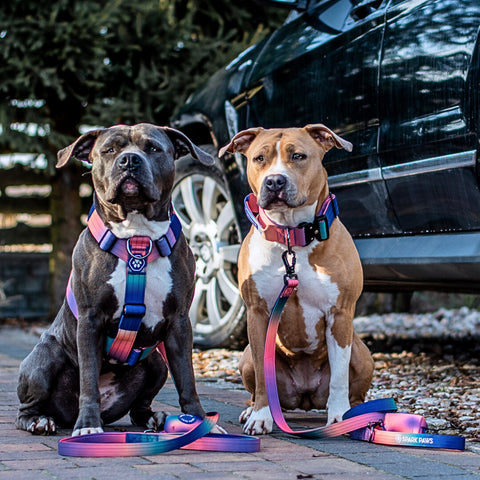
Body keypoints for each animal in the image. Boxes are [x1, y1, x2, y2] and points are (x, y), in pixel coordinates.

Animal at [15, 123, 214, 436]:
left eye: (152, 148)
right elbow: (88, 381)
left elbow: (187, 379)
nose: (129, 160)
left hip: (157, 363)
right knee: (27, 407)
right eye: (109, 150)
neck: (137, 239)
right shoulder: (90, 320)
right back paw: (39, 420)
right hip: (46, 358)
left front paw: (198, 422)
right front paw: (88, 427)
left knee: (139, 406)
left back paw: (153, 418)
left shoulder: (179, 322)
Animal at [219, 124, 374, 436]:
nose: (275, 181)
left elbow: (339, 377)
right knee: (255, 386)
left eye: (298, 156)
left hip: (363, 356)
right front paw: (261, 416)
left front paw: (339, 418)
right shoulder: (257, 314)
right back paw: (250, 410)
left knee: (355, 391)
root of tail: (305, 397)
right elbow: (263, 376)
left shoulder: (340, 314)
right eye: (259, 158)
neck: (292, 236)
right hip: (245, 358)